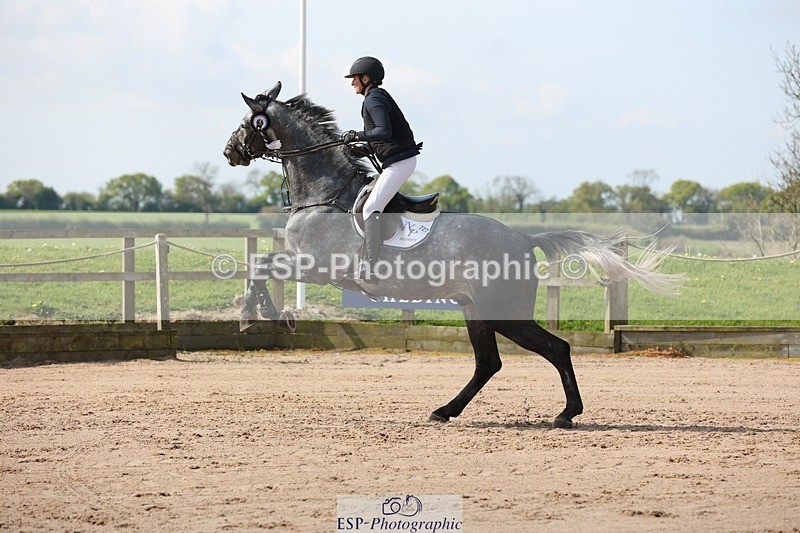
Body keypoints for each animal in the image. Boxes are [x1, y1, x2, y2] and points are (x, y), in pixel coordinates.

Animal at [223, 81, 683, 429]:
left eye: (246, 122)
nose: (230, 153)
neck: (324, 194)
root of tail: (522, 238)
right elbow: (261, 265)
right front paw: (259, 313)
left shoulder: (317, 266)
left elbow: (262, 265)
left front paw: (258, 315)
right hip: (475, 308)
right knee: (488, 363)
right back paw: (446, 411)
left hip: (503, 312)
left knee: (556, 349)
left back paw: (566, 414)